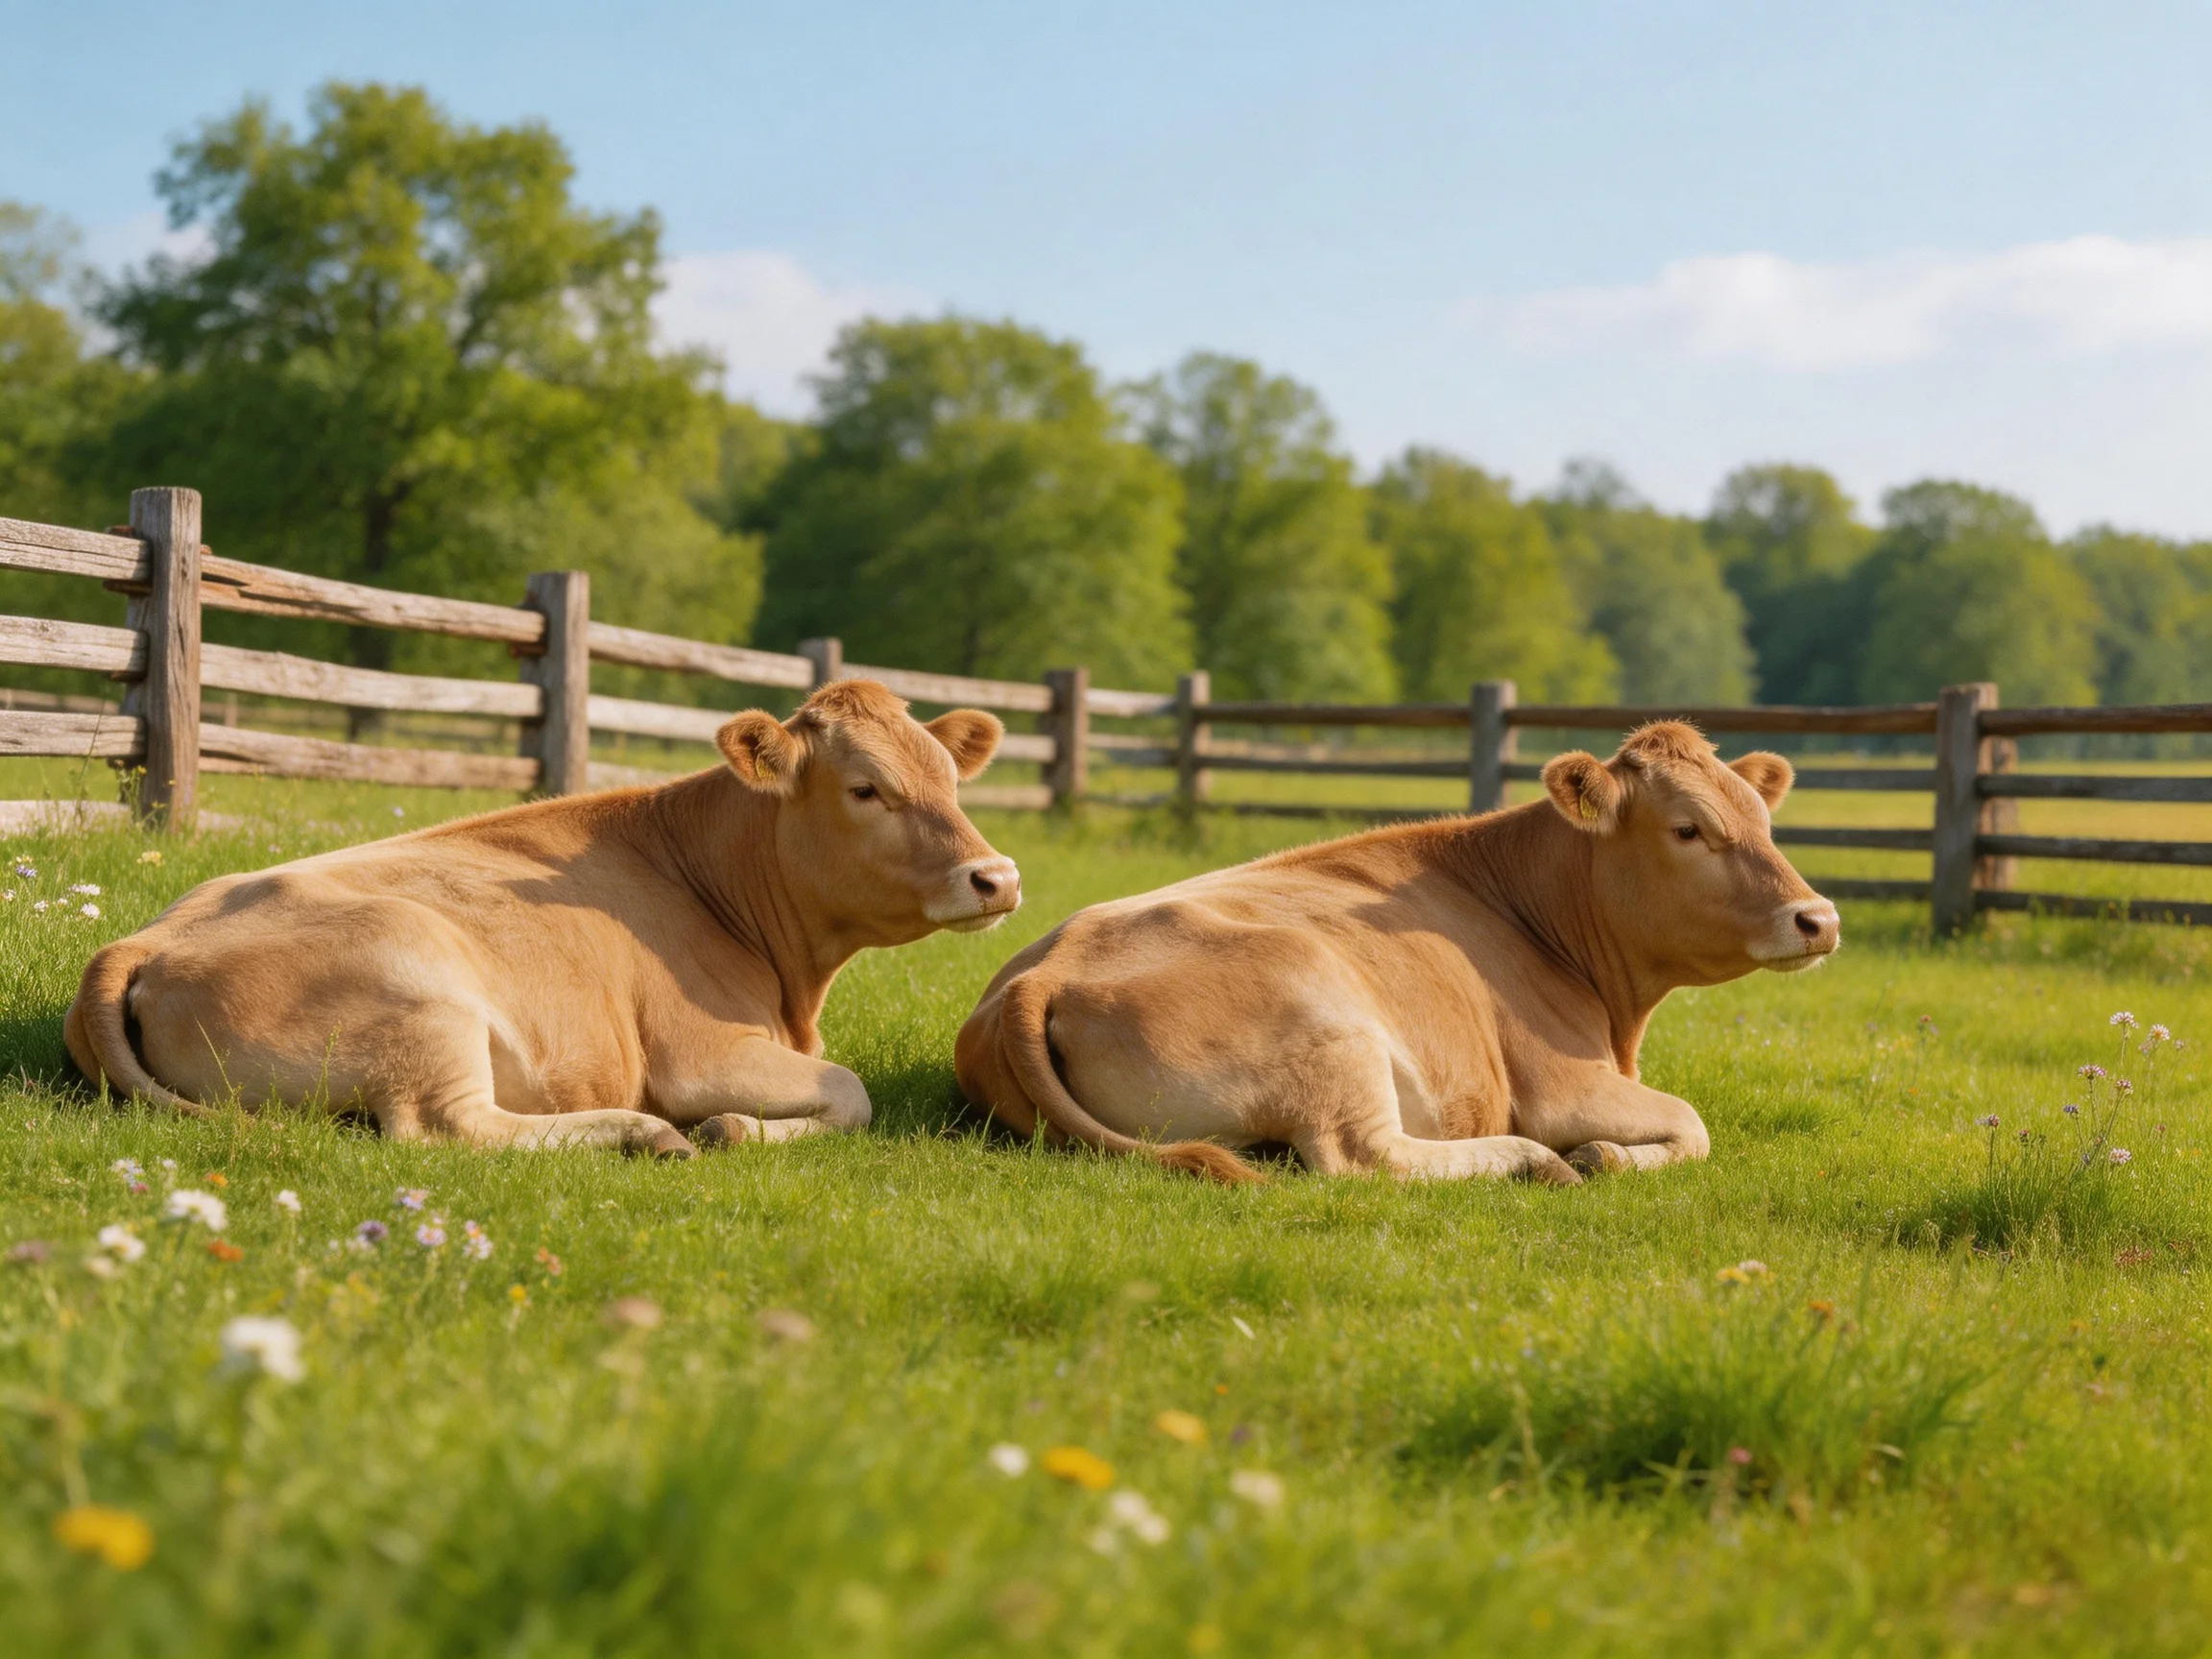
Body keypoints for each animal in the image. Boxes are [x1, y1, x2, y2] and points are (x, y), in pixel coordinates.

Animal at [66, 680, 1021, 1157]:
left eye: (951, 777)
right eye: (865, 789)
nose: (997, 876)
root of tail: (136, 943)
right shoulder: (700, 1054)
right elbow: (851, 1092)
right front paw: (731, 1128)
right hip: (425, 995)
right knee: (448, 1129)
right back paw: (646, 1134)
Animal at [954, 722, 1837, 1185]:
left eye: (1764, 819)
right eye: (1689, 829)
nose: (1818, 918)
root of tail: (1041, 973)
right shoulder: (1561, 1084)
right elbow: (1691, 1123)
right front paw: (1604, 1153)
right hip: (1328, 1020)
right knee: (1367, 1158)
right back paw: (1533, 1160)